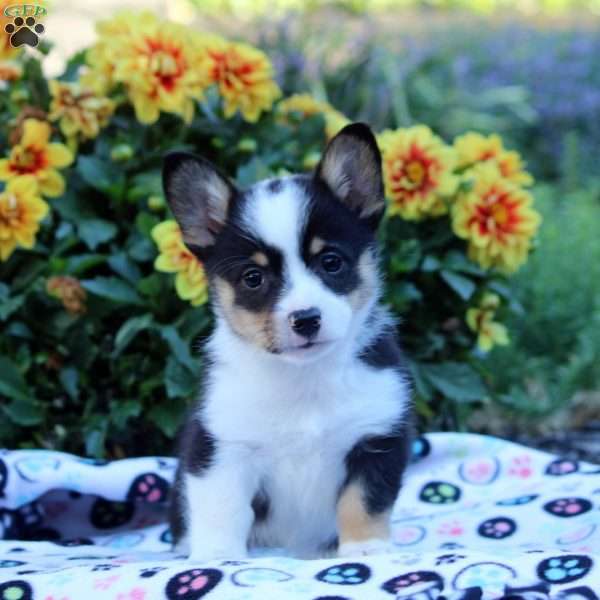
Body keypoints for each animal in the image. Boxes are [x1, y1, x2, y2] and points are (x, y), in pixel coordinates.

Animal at [166, 122, 414, 564]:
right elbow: (221, 506)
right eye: (253, 278)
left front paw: (366, 549)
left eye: (331, 262)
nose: (306, 319)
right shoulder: (221, 446)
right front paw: (217, 557)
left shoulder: (375, 437)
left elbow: (363, 501)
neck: (304, 379)